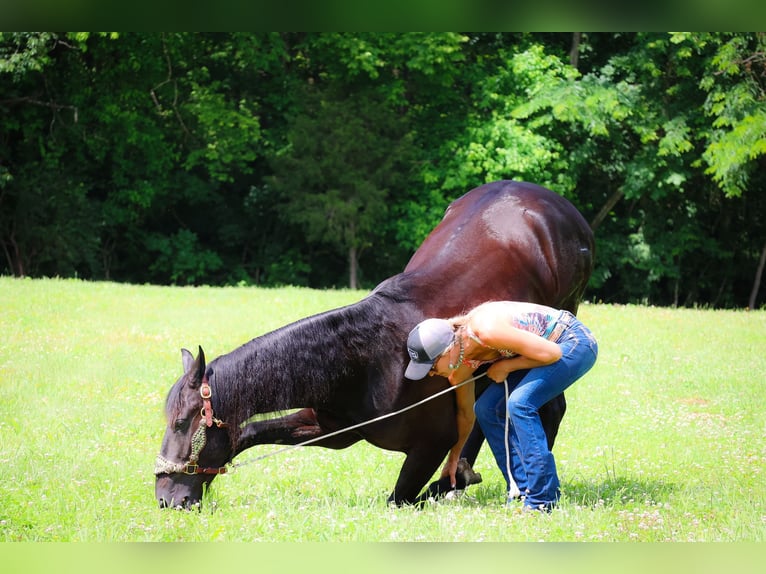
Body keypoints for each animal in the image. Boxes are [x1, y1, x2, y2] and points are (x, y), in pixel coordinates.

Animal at [153, 180, 592, 508]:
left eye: (182, 423)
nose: (166, 499)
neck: (370, 362)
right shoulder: (331, 428)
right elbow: (249, 433)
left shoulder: (429, 446)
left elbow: (401, 497)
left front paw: (451, 483)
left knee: (546, 407)